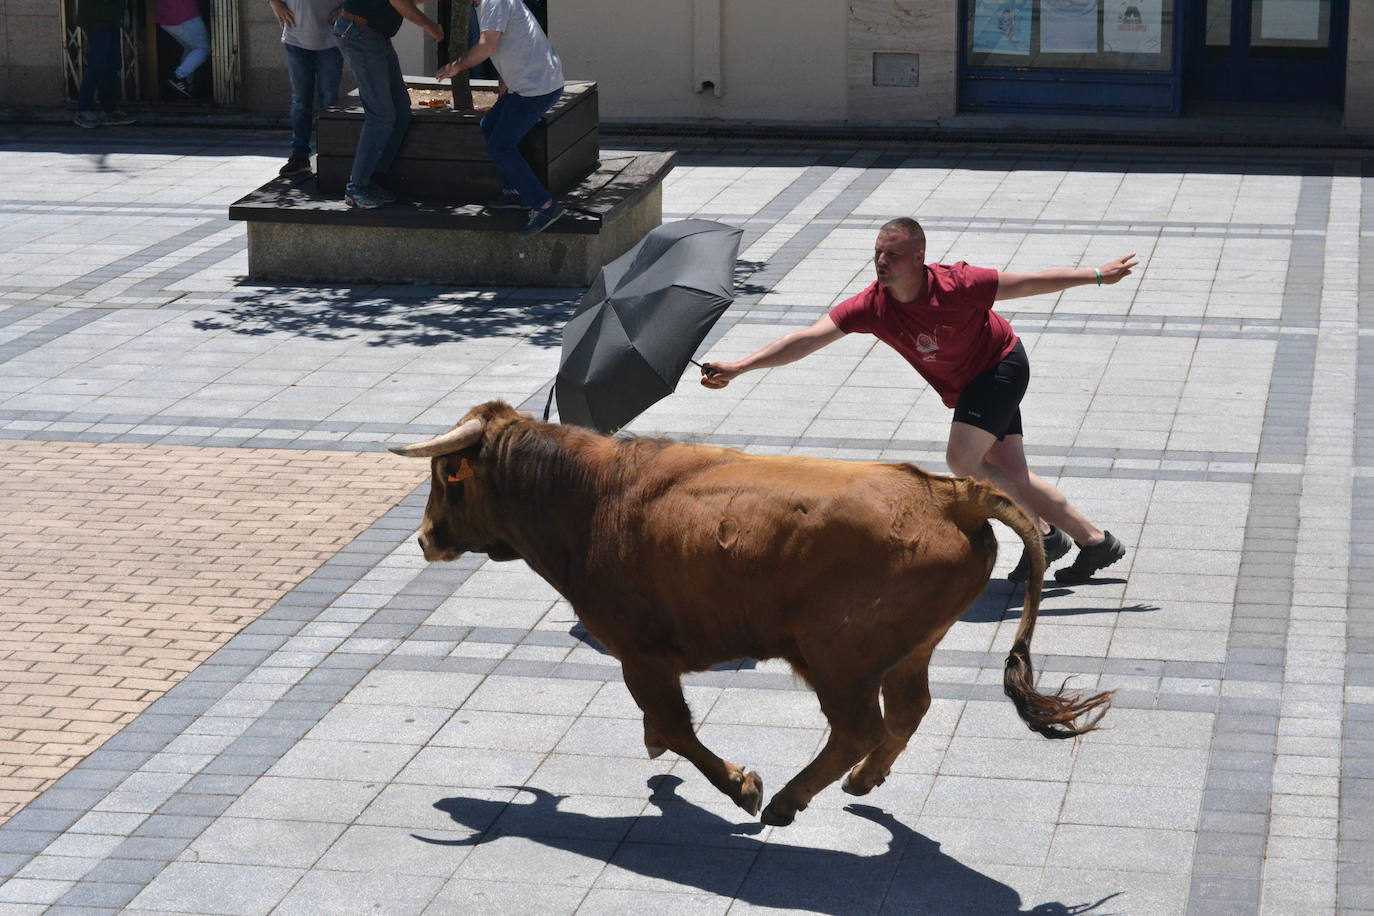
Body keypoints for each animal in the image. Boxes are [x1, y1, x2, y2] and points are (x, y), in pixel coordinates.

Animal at [392, 403, 1110, 829]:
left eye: (446, 475)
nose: (424, 539)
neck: (592, 499)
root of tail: (949, 494)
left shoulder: (641, 655)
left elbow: (676, 727)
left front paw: (740, 785)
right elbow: (665, 727)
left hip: (838, 660)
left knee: (859, 726)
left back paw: (789, 800)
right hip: (909, 649)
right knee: (905, 712)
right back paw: (860, 783)